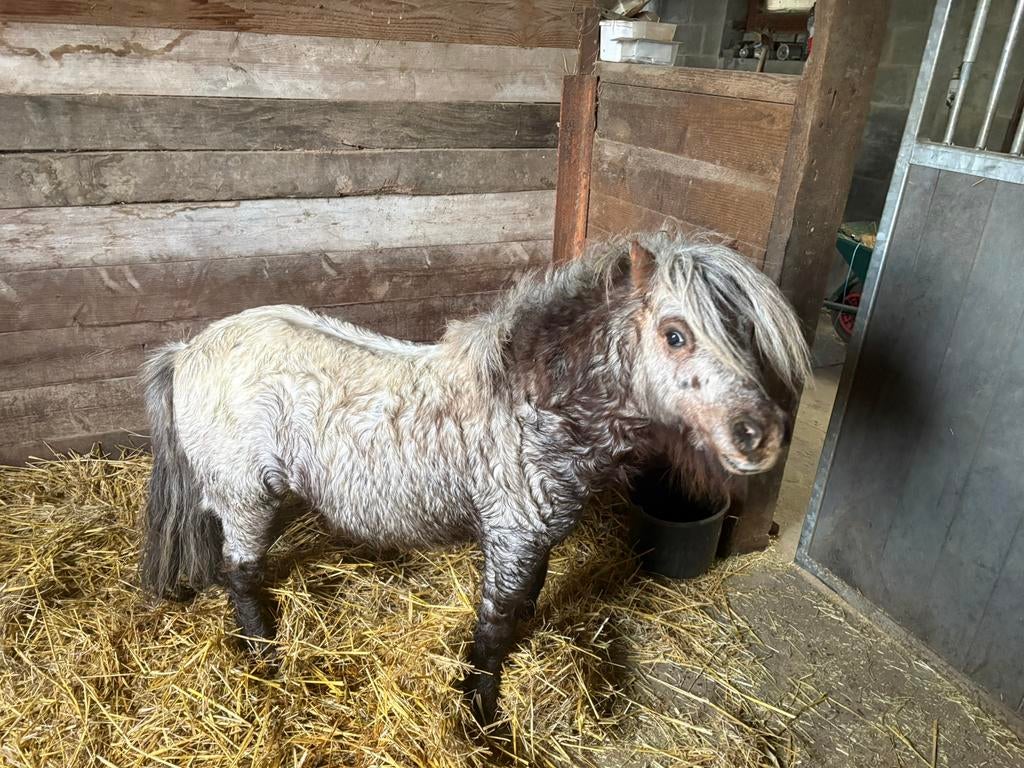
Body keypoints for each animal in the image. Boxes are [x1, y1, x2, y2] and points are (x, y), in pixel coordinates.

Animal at [139, 233, 811, 724]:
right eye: (676, 335)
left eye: (745, 336)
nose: (761, 435)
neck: (530, 399)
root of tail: (187, 350)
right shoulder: (512, 533)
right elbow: (495, 620)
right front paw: (481, 711)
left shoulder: (537, 535)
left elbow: (525, 603)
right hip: (246, 497)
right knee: (241, 574)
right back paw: (265, 657)